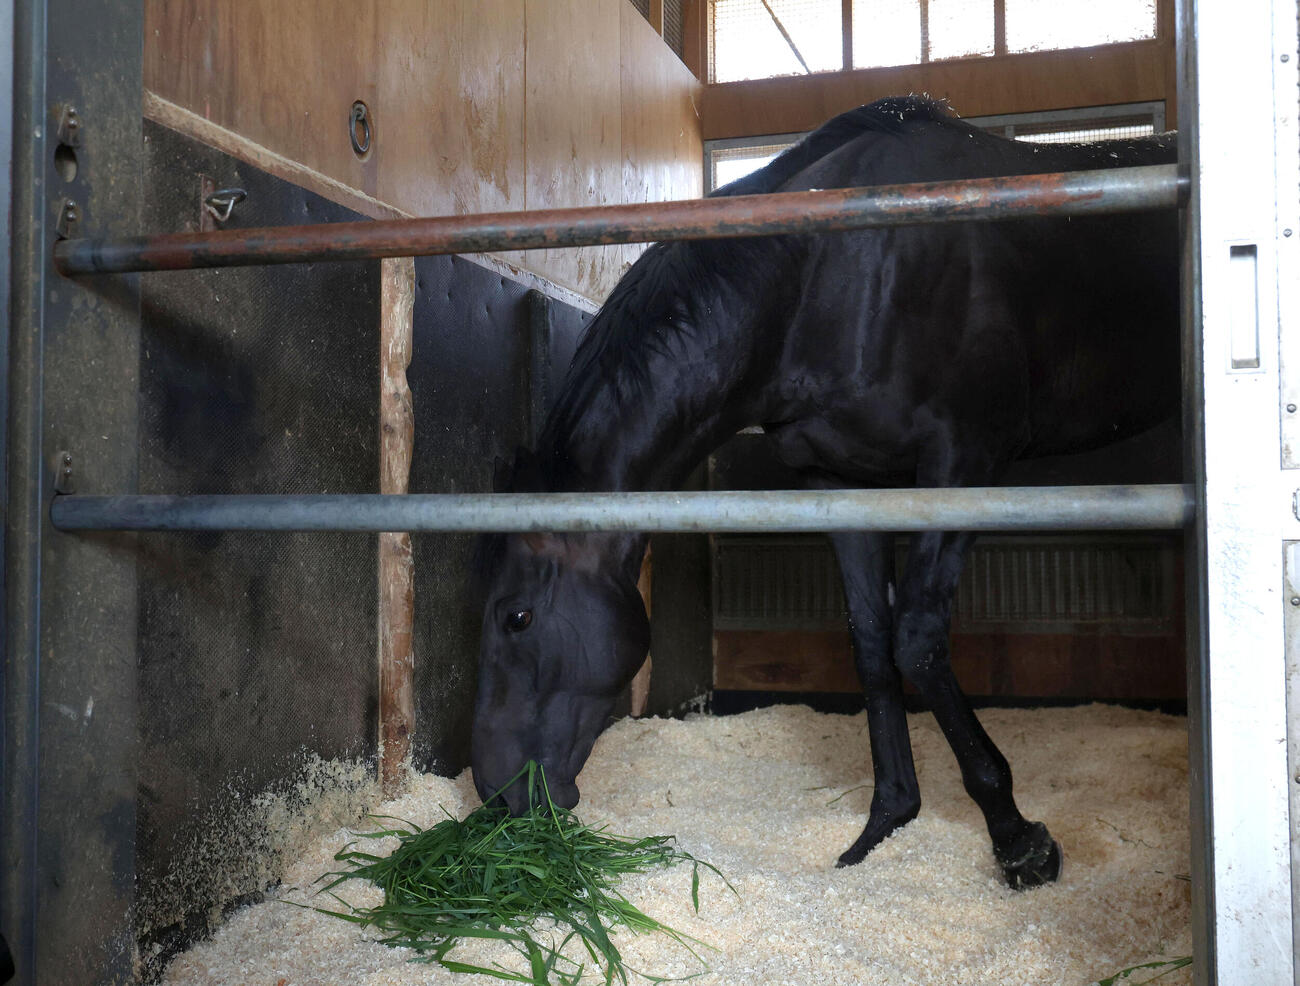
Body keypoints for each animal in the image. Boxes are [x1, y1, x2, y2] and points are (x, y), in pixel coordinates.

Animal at [470, 95, 1179, 889]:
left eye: (517, 617)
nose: (496, 796)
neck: (830, 275)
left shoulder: (963, 461)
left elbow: (918, 640)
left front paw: (1017, 839)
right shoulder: (840, 483)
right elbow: (870, 641)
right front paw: (887, 818)